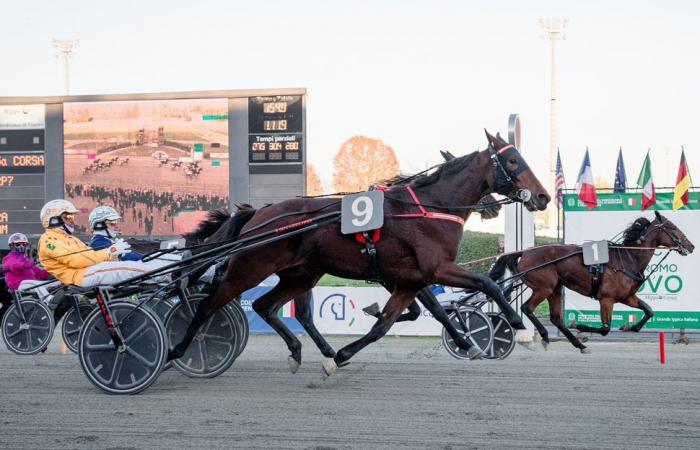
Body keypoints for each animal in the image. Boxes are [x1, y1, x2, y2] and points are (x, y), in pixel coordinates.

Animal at [171, 131, 552, 376]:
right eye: (513, 160)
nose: (544, 196)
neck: (429, 207)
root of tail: (259, 213)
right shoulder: (435, 269)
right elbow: (487, 286)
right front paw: (519, 330)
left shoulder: (410, 280)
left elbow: (389, 324)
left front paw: (338, 356)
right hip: (249, 268)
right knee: (208, 305)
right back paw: (179, 351)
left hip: (300, 274)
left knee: (268, 306)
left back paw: (299, 351)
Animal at [490, 213, 692, 354]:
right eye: (672, 227)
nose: (691, 246)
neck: (627, 259)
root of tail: (525, 252)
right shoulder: (606, 299)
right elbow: (605, 329)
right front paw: (579, 325)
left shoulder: (627, 297)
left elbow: (649, 310)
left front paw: (630, 326)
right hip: (543, 288)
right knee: (526, 308)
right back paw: (546, 336)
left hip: (555, 288)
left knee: (556, 318)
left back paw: (578, 344)